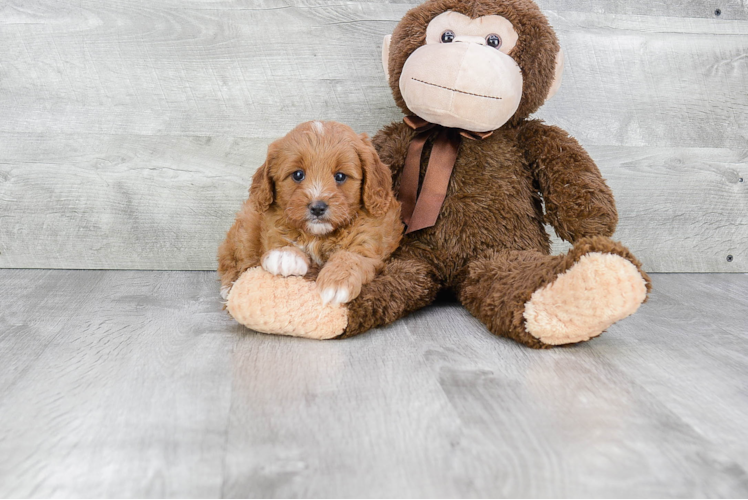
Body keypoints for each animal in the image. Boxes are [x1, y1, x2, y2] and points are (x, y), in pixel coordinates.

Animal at [218, 120, 404, 304]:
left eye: (340, 176)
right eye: (298, 174)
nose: (317, 208)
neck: (318, 236)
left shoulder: (368, 242)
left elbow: (352, 256)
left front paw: (337, 280)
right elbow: (280, 238)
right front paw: (285, 255)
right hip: (247, 225)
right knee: (233, 257)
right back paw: (229, 286)